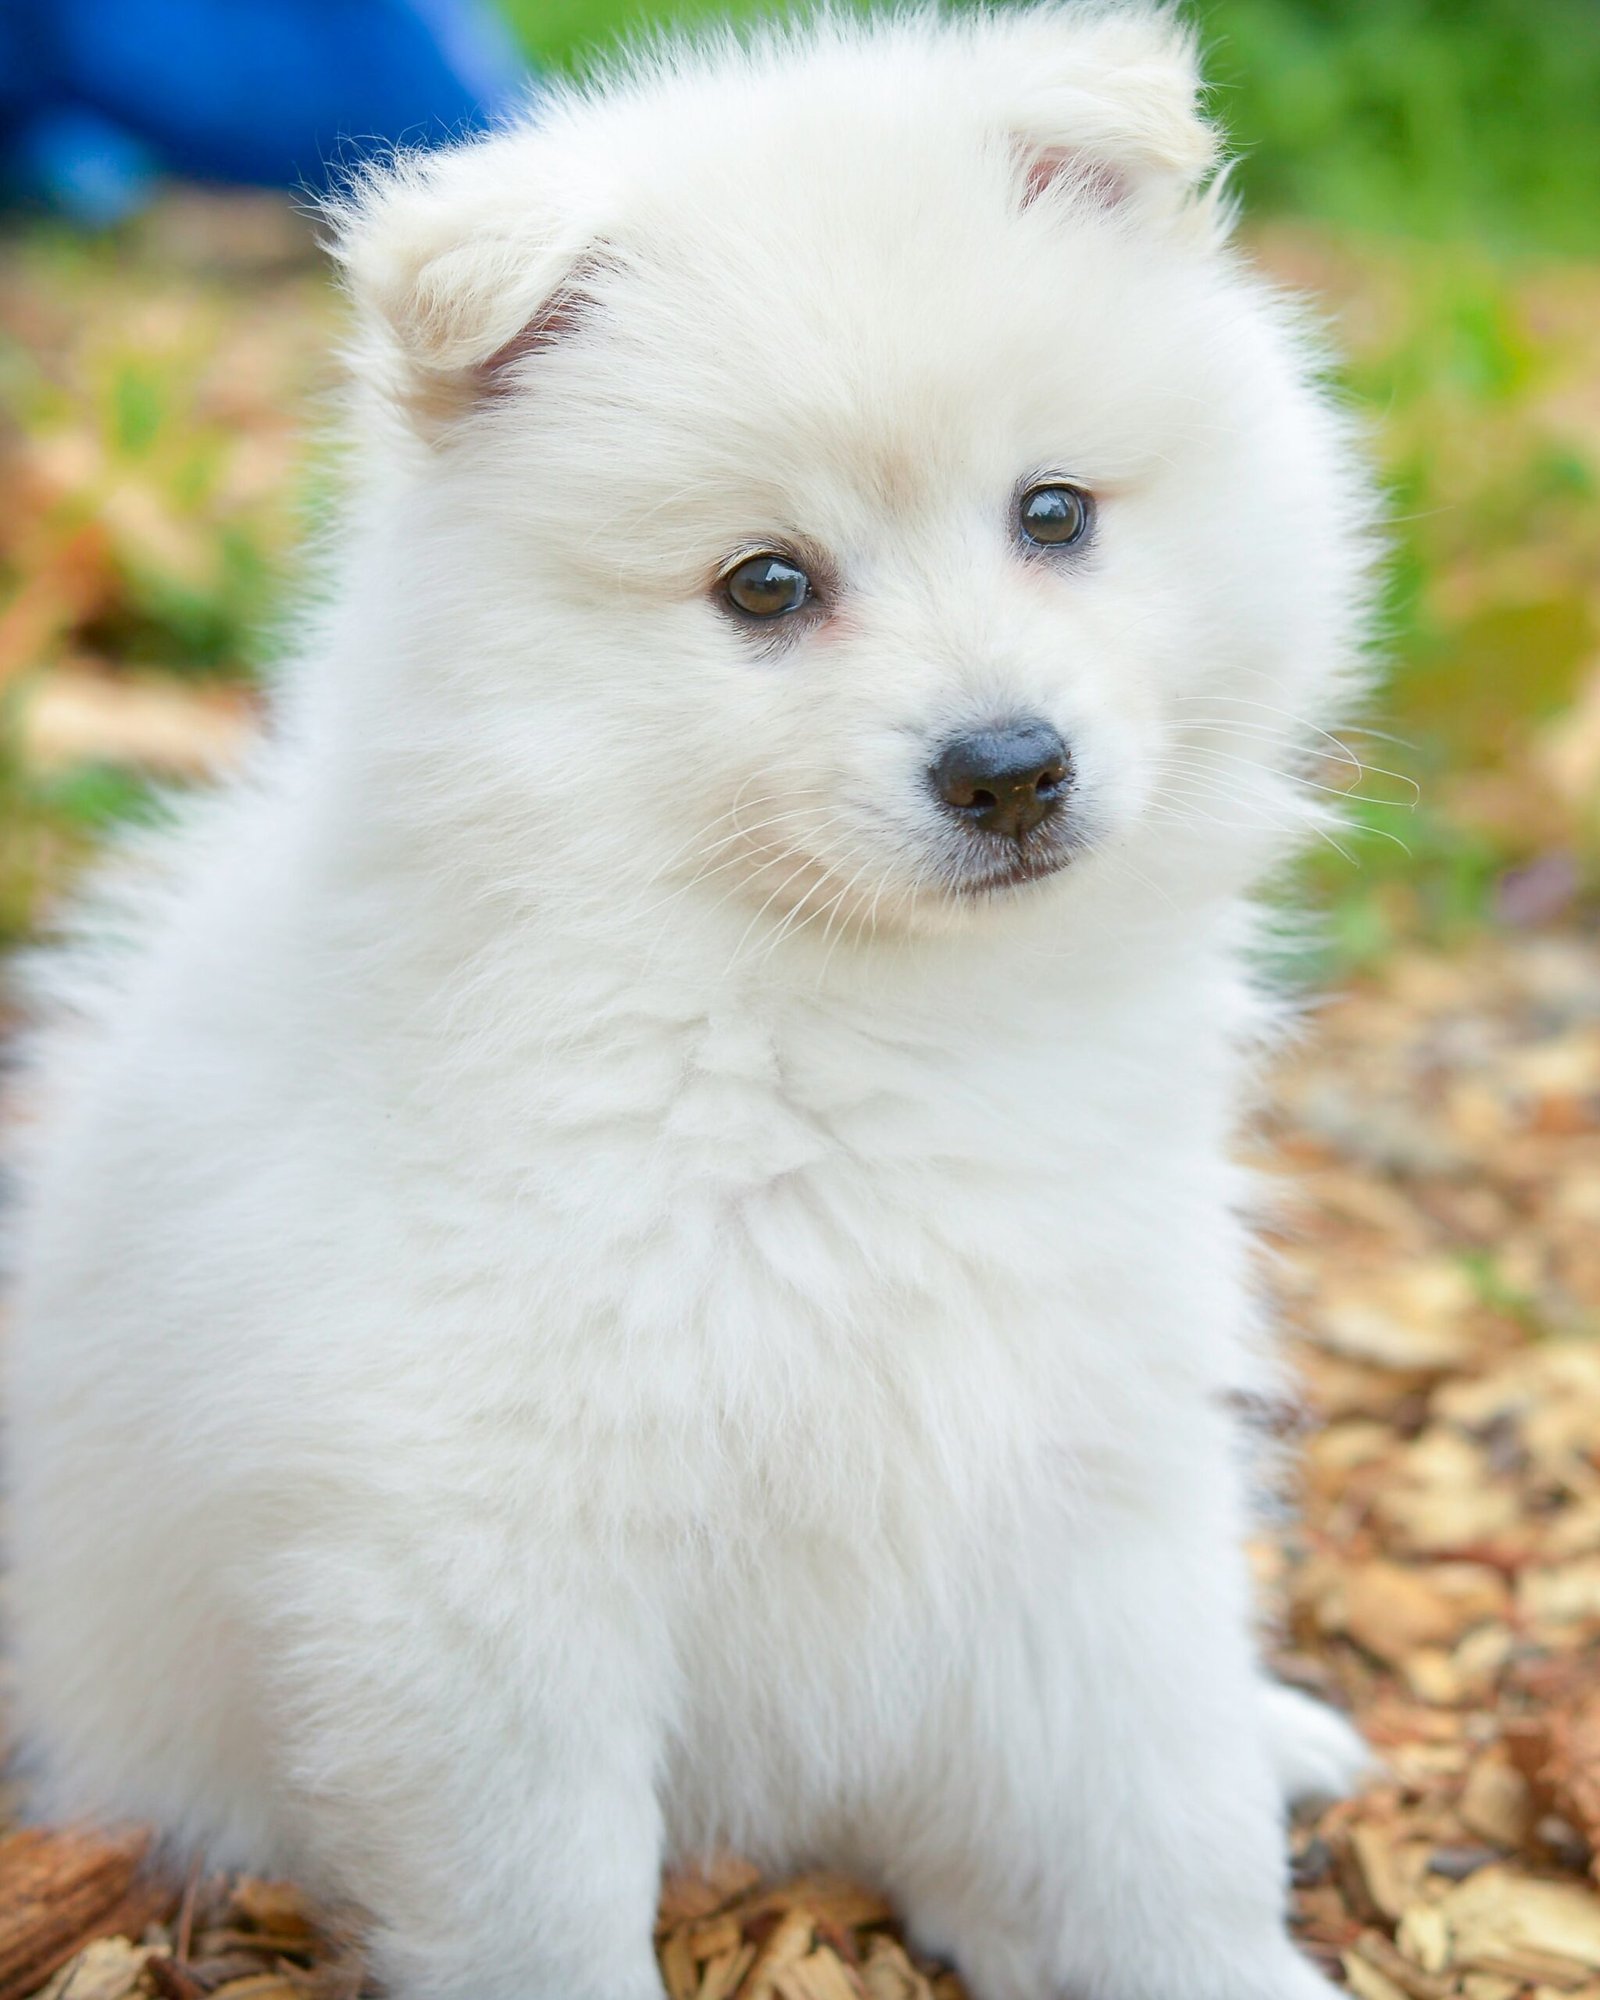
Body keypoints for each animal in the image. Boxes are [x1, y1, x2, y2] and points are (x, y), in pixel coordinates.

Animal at [0, 15, 1376, 2000]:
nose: (1010, 769)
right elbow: (547, 1917)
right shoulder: (484, 1574)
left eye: (1053, 514)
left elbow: (1160, 1819)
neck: (825, 1023)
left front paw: (1224, 1955)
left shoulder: (1085, 1457)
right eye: (766, 584)